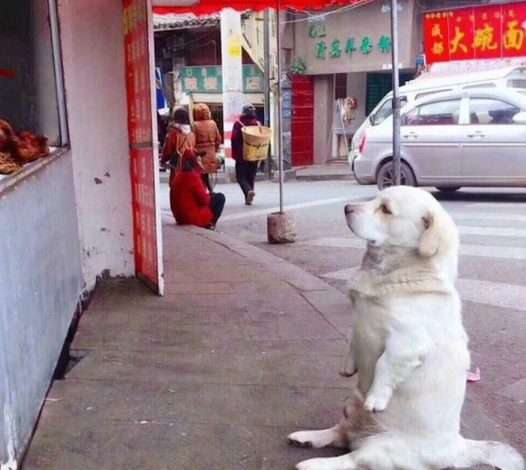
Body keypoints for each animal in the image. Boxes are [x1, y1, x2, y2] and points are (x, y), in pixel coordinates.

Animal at [290, 185, 524, 468]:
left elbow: (384, 365)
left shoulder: (407, 343)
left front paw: (377, 397)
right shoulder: (359, 322)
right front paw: (348, 367)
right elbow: (353, 340)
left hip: (380, 448)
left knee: (351, 458)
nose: (346, 208)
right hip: (350, 408)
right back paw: (306, 437)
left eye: (386, 209)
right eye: (375, 199)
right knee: (338, 434)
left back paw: (313, 463)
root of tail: (458, 448)